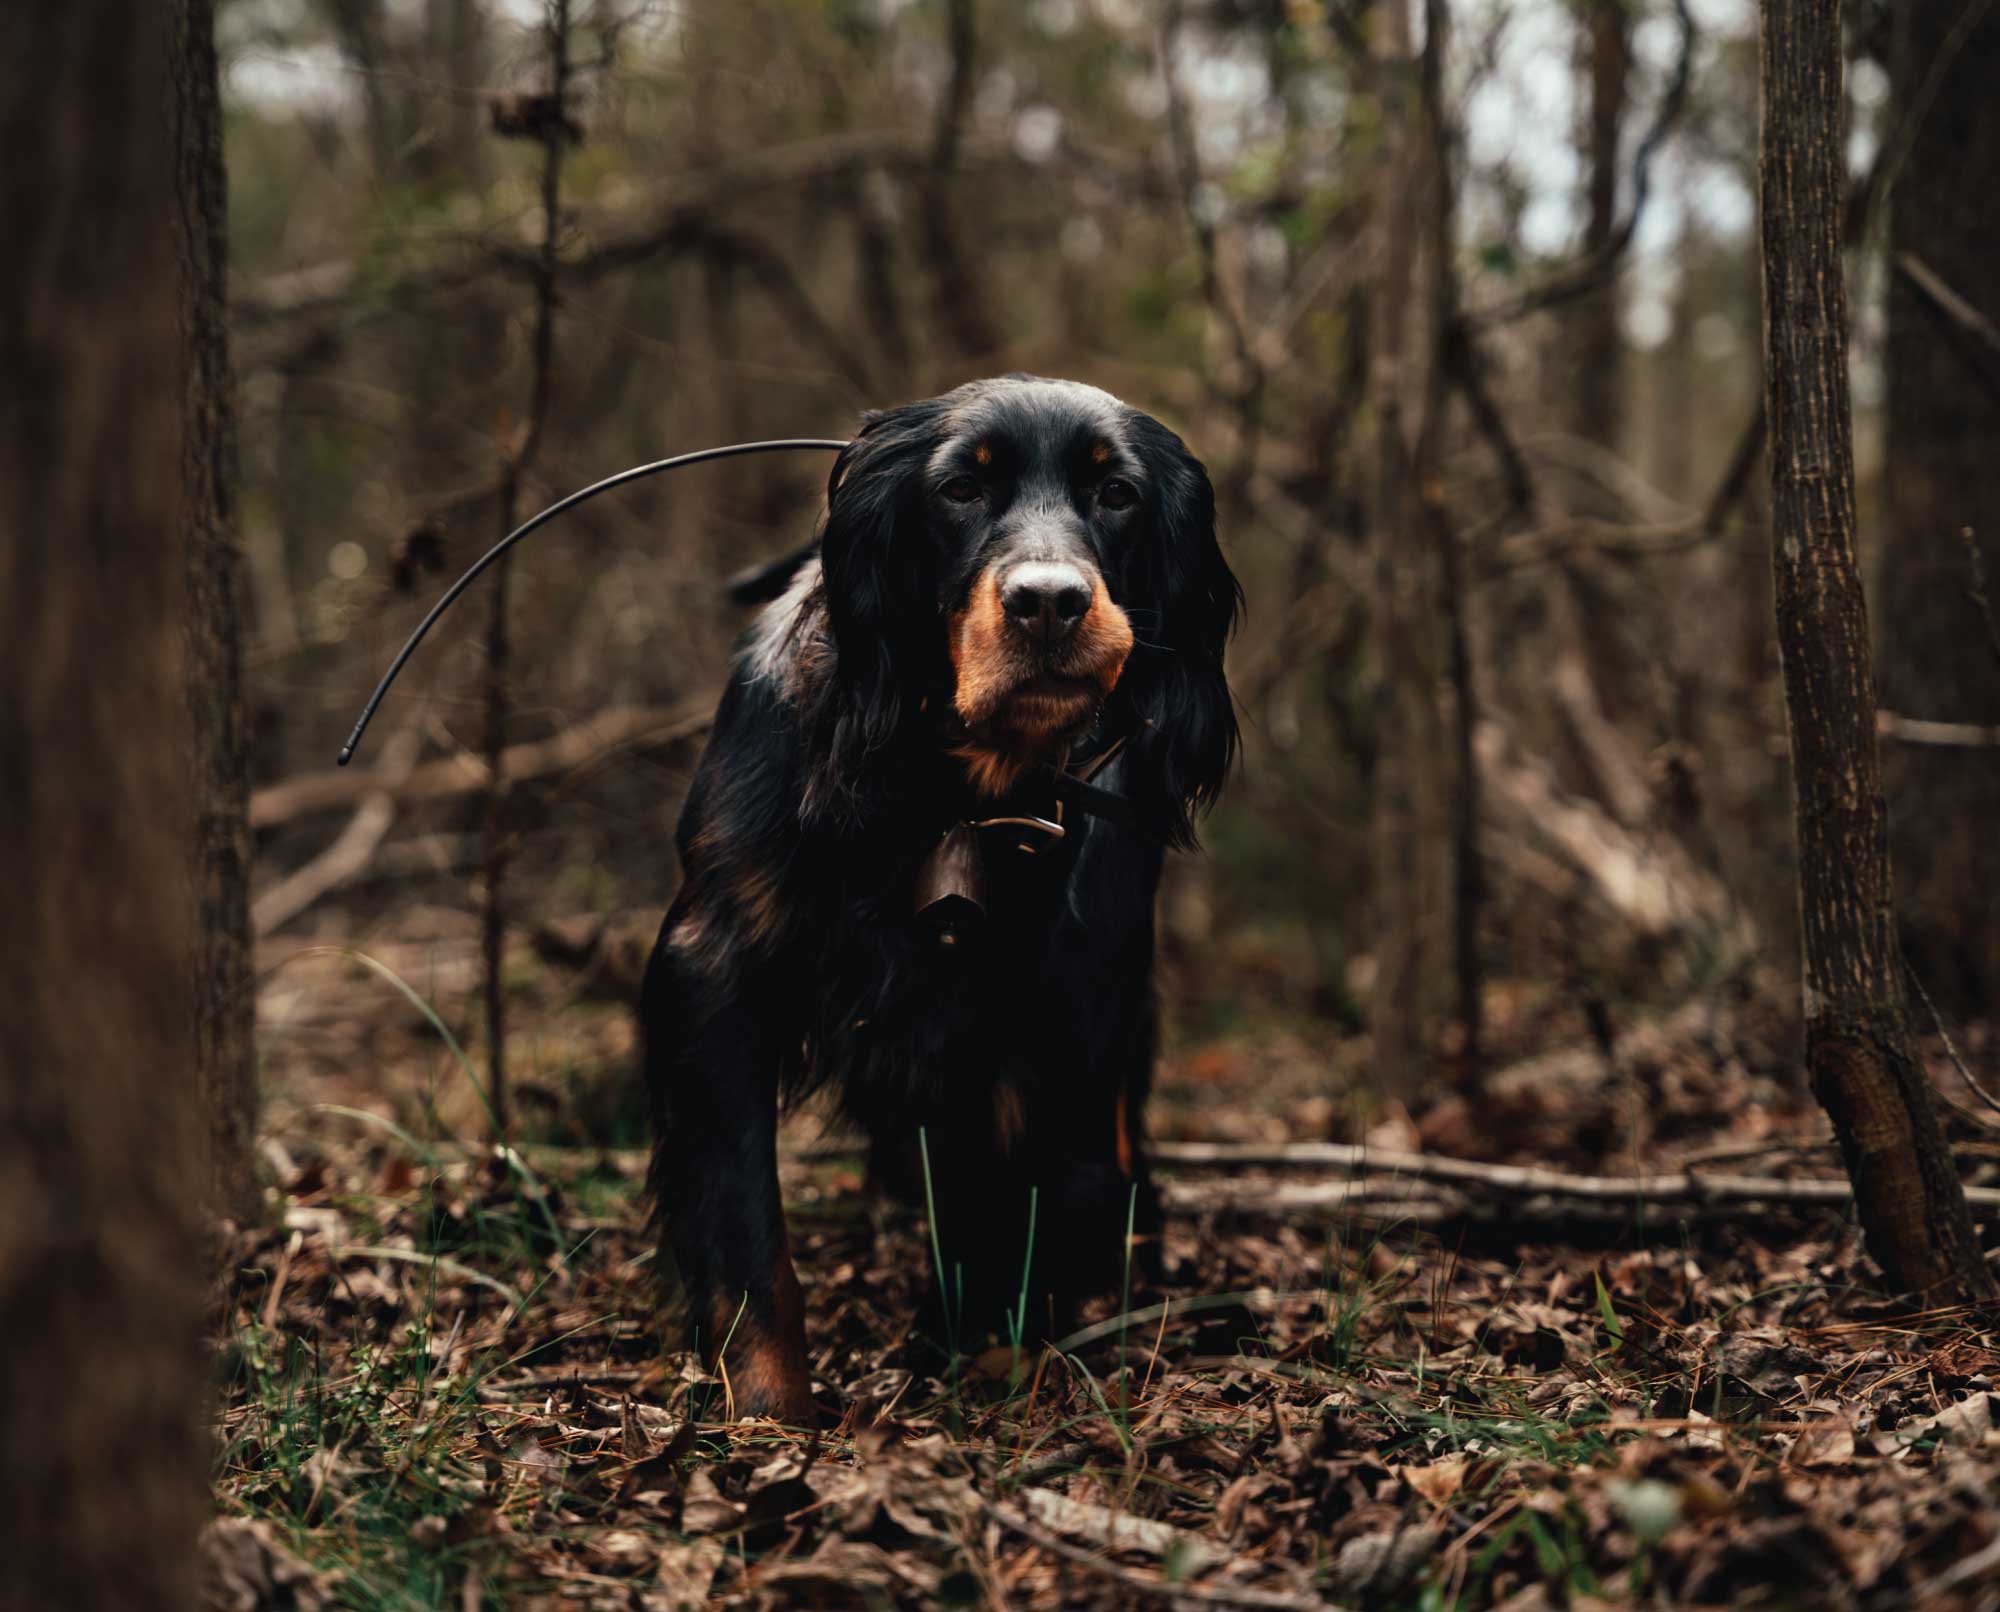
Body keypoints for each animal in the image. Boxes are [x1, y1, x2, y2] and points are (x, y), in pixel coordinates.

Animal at [640, 372, 1232, 1424]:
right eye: (961, 490)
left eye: (1117, 494)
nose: (1050, 603)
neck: (946, 787)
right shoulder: (716, 971)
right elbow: (746, 1225)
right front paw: (771, 1408)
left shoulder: (1059, 1001)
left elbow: (1024, 1204)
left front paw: (991, 1356)